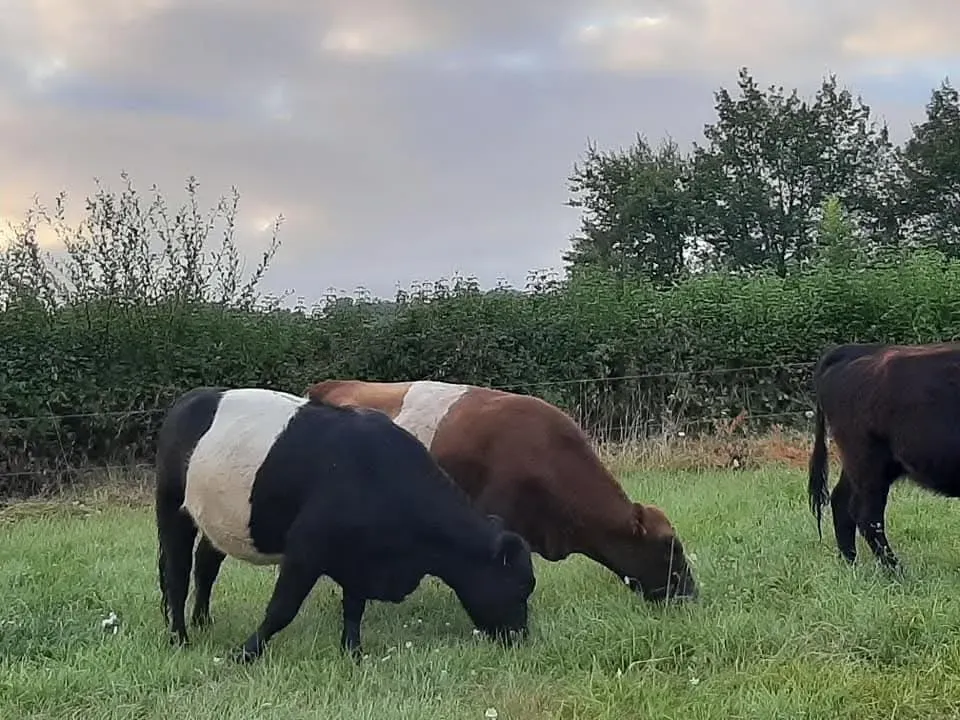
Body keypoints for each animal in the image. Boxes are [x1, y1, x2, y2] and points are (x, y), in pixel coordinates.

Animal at [154, 386, 536, 663]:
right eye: (520, 587)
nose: (521, 638)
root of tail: (190, 399)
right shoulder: (306, 549)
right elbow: (282, 609)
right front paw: (245, 653)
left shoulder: (359, 558)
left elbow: (354, 608)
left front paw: (353, 653)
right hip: (172, 509)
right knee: (176, 574)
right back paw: (180, 638)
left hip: (218, 520)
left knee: (205, 565)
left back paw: (202, 621)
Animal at [808, 341, 960, 570]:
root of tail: (855, 351)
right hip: (868, 461)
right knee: (867, 515)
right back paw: (895, 570)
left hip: (860, 464)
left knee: (841, 501)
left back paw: (850, 562)